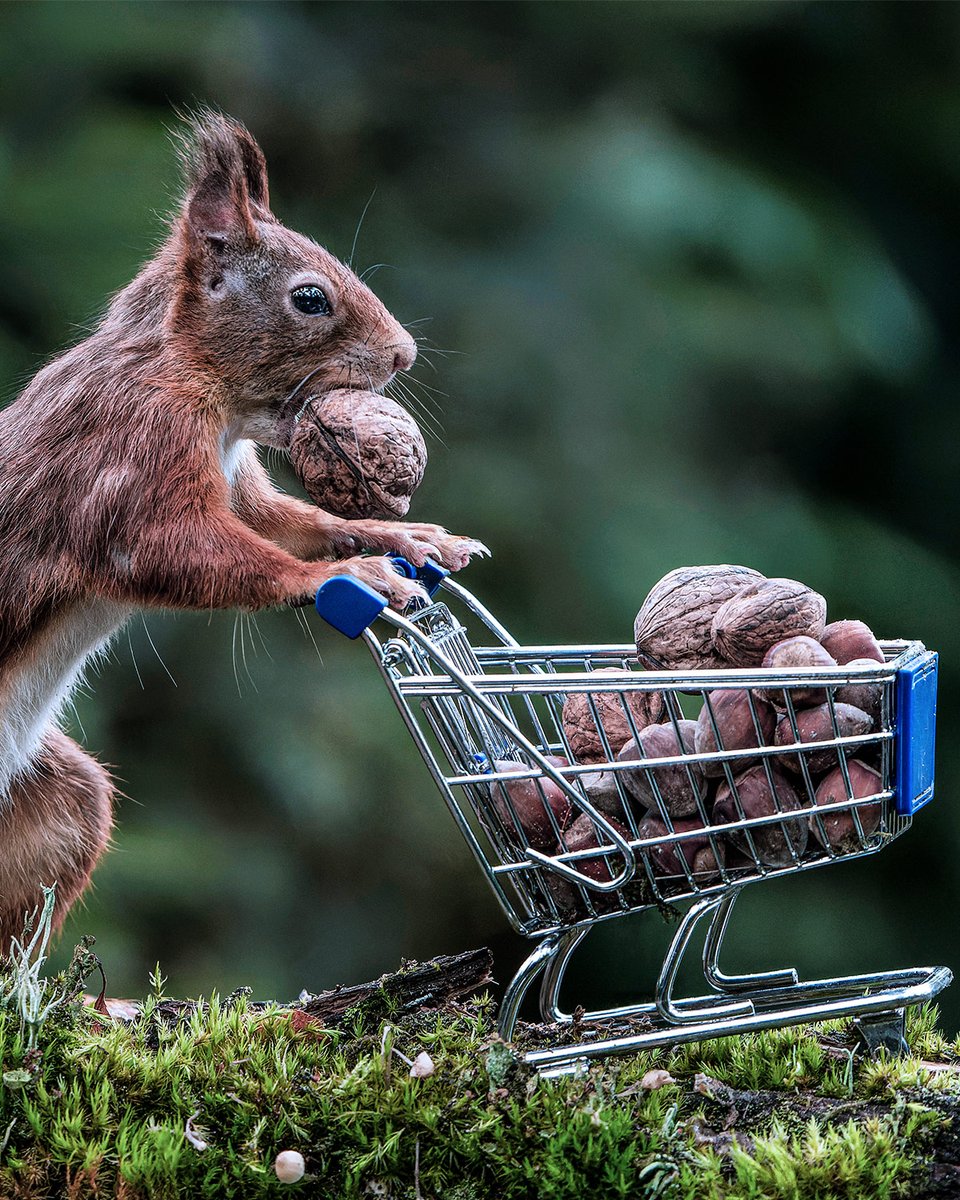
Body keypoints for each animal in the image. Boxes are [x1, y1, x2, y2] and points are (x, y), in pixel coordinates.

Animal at [0, 112, 485, 950]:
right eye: (310, 298)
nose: (404, 355)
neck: (188, 373)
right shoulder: (132, 453)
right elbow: (177, 548)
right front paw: (342, 581)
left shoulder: (242, 486)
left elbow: (294, 525)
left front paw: (410, 541)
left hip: (61, 805)